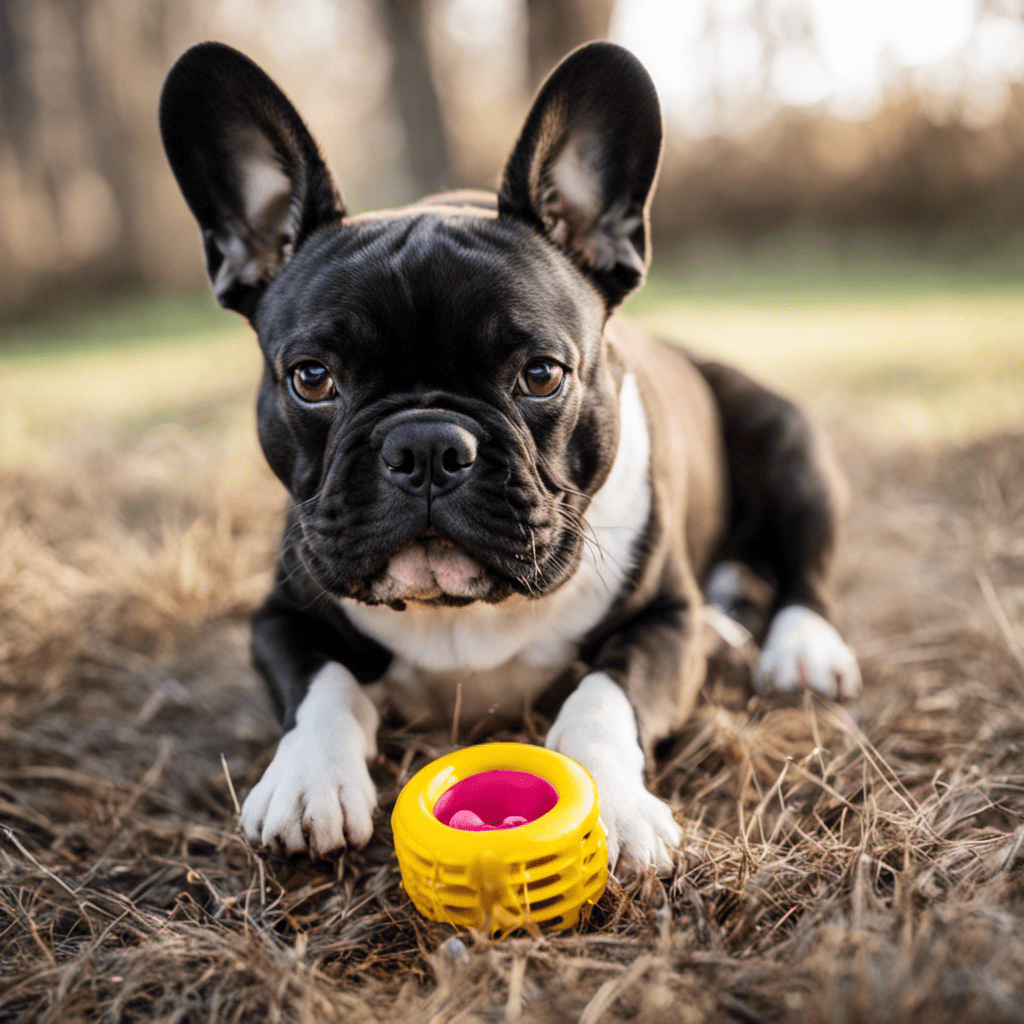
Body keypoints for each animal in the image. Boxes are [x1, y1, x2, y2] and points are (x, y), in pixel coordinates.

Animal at [159, 37, 860, 872]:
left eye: (541, 374)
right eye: (312, 378)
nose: (427, 444)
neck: (463, 615)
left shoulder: (664, 623)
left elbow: (604, 695)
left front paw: (608, 805)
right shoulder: (278, 617)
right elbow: (322, 684)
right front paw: (308, 777)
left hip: (786, 437)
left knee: (806, 568)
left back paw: (801, 650)